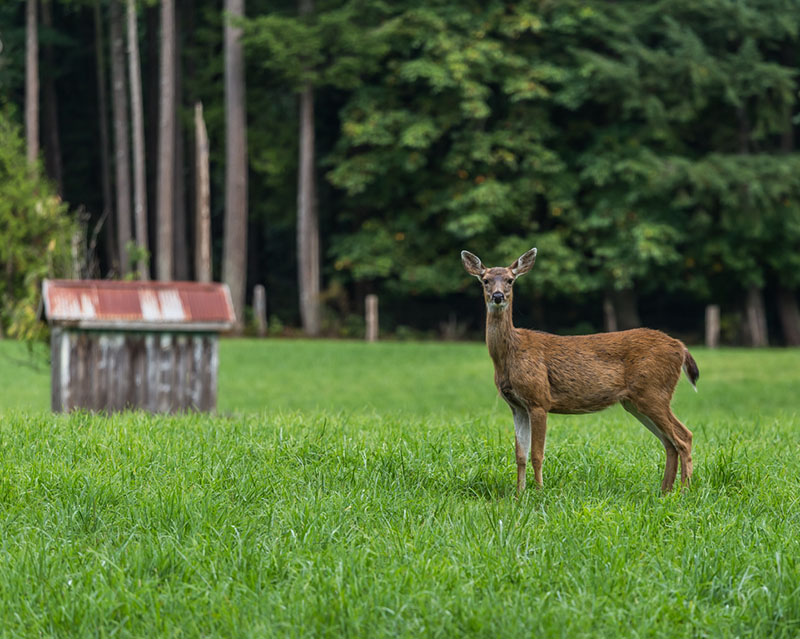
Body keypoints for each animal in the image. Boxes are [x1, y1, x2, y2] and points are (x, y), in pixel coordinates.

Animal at [462, 249, 700, 496]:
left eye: (510, 279)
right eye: (485, 280)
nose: (498, 296)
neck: (510, 354)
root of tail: (681, 347)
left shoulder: (539, 400)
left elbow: (537, 454)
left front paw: (538, 492)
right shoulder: (516, 406)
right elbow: (520, 455)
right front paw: (519, 494)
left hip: (654, 392)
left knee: (684, 437)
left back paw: (684, 491)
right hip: (636, 402)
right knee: (669, 442)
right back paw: (665, 491)